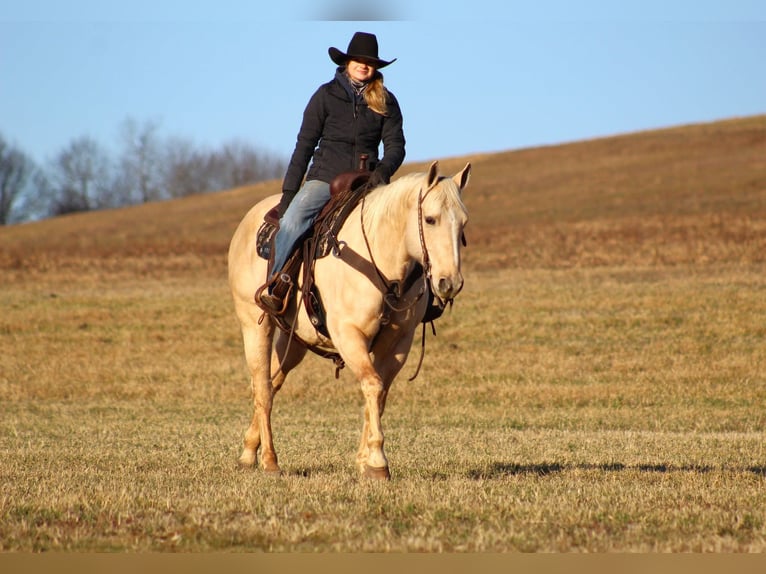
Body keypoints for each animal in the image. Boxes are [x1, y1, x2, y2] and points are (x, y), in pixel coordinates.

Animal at [225, 162, 472, 482]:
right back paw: (269, 460)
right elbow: (373, 385)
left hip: (295, 341)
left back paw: (248, 452)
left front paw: (365, 461)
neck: (383, 261)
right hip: (255, 326)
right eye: (430, 219)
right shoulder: (349, 335)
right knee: (262, 387)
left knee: (272, 380)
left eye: (463, 223)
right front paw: (377, 460)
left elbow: (380, 393)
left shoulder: (398, 344)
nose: (449, 282)